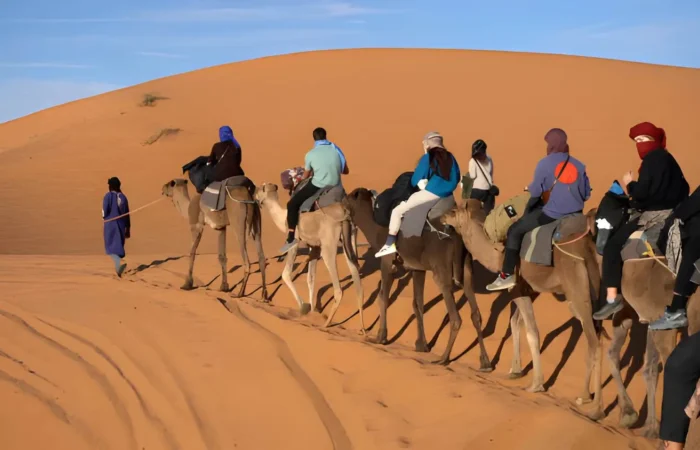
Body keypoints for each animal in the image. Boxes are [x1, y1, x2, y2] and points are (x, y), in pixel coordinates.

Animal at [254, 183, 364, 331]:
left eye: (261, 188)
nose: (254, 193)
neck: (283, 217)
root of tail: (344, 213)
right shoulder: (314, 246)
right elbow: (311, 278)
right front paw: (312, 311)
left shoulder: (294, 241)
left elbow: (286, 274)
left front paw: (303, 307)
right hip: (351, 237)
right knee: (357, 280)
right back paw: (363, 329)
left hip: (329, 244)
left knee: (338, 288)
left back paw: (326, 324)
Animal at [343, 188, 491, 369]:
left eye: (346, 201)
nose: (341, 208)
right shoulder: (417, 268)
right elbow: (417, 303)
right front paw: (421, 345)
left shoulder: (387, 261)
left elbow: (383, 297)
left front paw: (380, 337)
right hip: (467, 268)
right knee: (475, 314)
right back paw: (485, 362)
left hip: (441, 270)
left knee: (455, 317)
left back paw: (443, 359)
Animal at [441, 199, 605, 420]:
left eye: (452, 210)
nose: (440, 217)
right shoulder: (529, 288)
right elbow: (515, 323)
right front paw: (515, 371)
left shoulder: (517, 286)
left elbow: (532, 331)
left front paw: (536, 384)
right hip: (594, 292)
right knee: (595, 337)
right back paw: (585, 396)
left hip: (577, 289)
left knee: (595, 341)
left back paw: (596, 408)